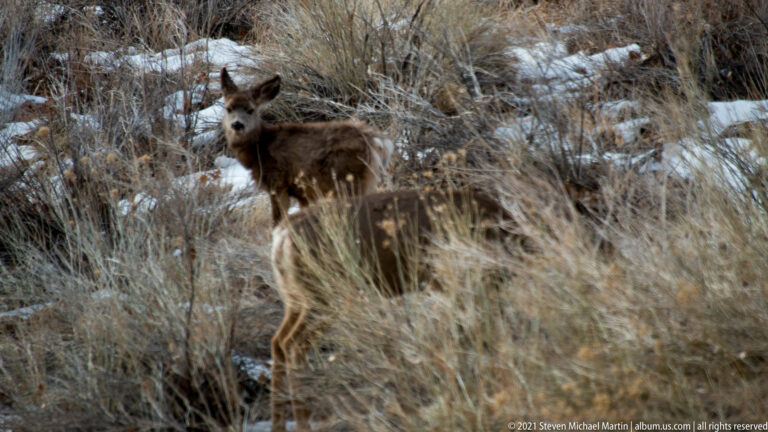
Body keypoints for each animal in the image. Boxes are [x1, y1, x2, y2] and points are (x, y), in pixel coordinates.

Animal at [220, 67, 393, 225]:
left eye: (250, 110)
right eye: (228, 109)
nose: (237, 124)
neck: (260, 148)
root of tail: (379, 142)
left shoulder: (278, 182)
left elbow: (278, 219)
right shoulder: (303, 193)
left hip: (349, 178)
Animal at [269, 188, 524, 432]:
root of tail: (282, 236)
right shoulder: (447, 281)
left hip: (295, 297)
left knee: (278, 341)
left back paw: (278, 423)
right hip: (322, 293)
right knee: (293, 344)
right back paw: (302, 422)